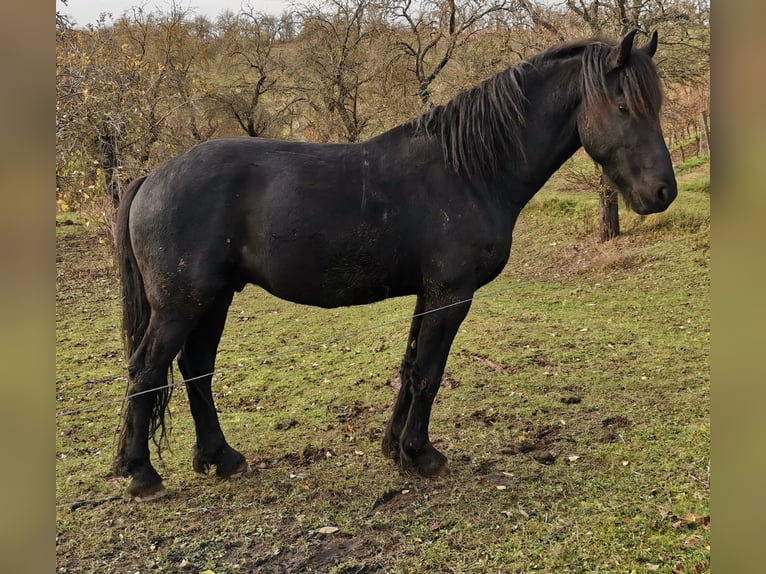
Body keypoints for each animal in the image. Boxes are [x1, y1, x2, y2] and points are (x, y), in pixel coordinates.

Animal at [112, 31, 680, 502]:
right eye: (624, 105)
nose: (662, 192)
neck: (470, 171)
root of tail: (151, 177)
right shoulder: (451, 294)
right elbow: (429, 372)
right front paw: (421, 454)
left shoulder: (428, 294)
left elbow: (409, 369)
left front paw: (394, 448)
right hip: (182, 304)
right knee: (147, 370)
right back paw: (141, 474)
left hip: (213, 299)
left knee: (196, 369)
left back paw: (220, 457)